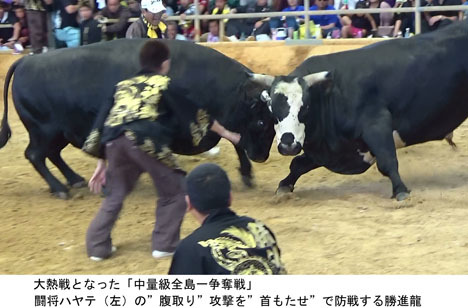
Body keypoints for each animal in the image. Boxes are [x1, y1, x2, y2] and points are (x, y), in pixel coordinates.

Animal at [0, 39, 276, 200]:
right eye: (262, 122)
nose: (262, 156)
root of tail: (25, 61)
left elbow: (237, 141)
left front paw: (247, 174)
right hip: (44, 130)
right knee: (35, 155)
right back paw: (59, 189)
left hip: (58, 133)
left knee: (52, 154)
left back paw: (74, 180)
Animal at [254, 20, 468, 201]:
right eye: (272, 110)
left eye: (304, 106)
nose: (288, 144)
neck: (332, 93)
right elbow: (297, 164)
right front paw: (284, 186)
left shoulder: (377, 124)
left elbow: (387, 161)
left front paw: (400, 191)